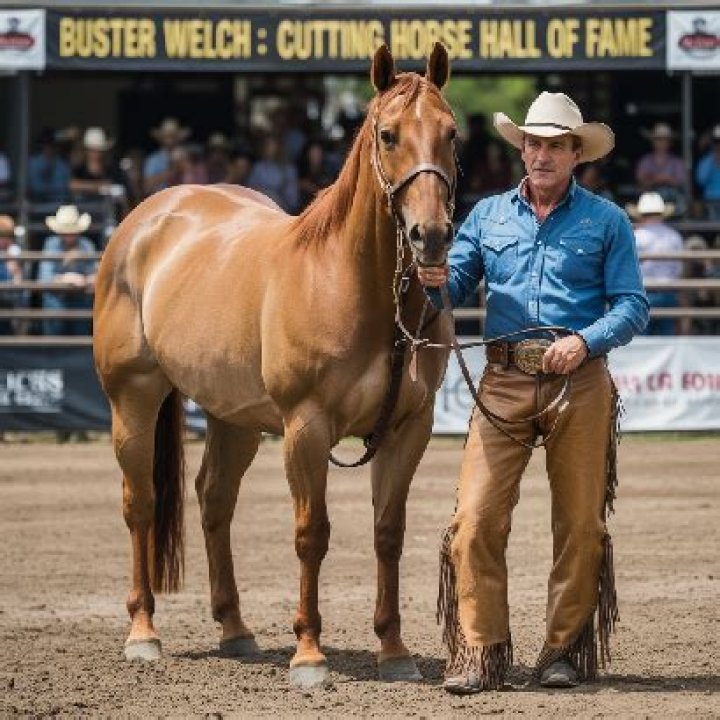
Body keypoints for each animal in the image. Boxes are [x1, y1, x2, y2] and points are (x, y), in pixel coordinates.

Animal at [92, 43, 456, 687]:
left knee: (214, 500)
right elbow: (312, 534)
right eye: (388, 135)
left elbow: (388, 533)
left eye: (452, 134)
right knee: (141, 504)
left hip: (233, 418)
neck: (350, 283)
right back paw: (143, 632)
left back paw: (235, 629)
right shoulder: (305, 427)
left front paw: (393, 651)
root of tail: (145, 219)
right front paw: (309, 653)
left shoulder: (408, 428)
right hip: (132, 400)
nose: (431, 235)